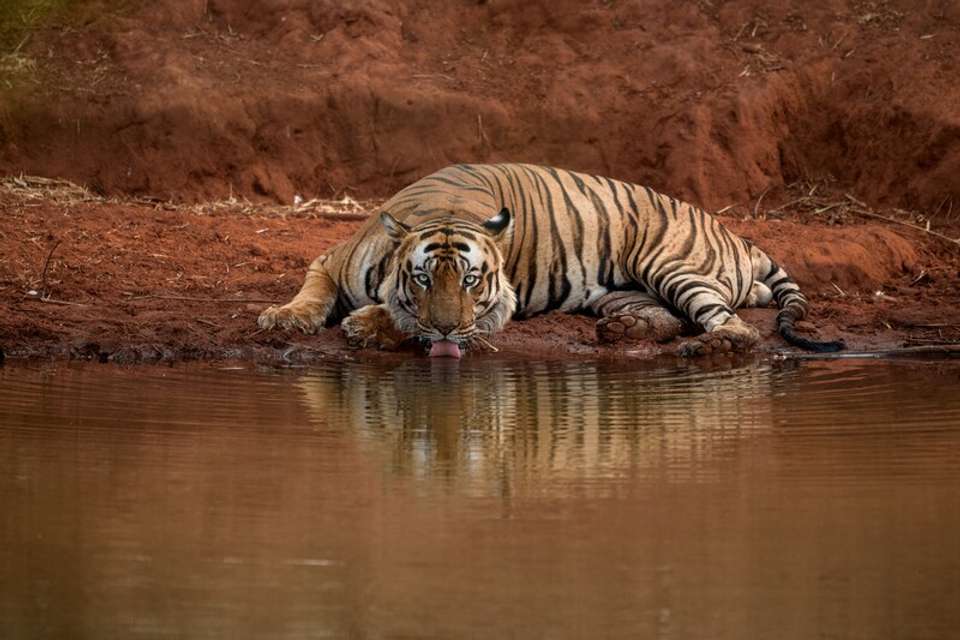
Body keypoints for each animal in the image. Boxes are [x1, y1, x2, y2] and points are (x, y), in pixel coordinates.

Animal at [257, 163, 844, 358]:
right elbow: (311, 293)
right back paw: (625, 332)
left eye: (472, 282)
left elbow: (409, 323)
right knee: (671, 317)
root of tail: (736, 234)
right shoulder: (328, 260)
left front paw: (367, 326)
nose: (447, 331)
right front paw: (282, 317)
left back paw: (708, 347)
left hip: (669, 264)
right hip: (626, 290)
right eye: (422, 278)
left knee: (735, 327)